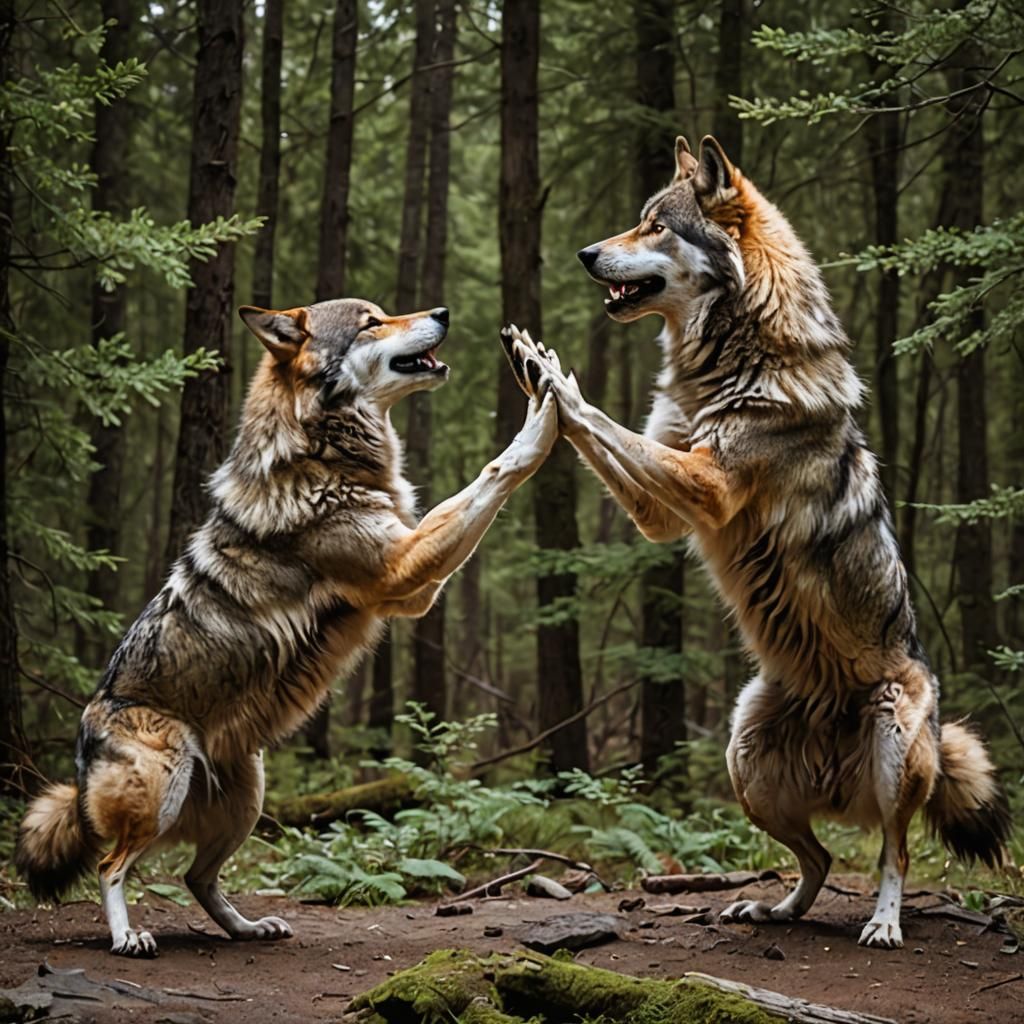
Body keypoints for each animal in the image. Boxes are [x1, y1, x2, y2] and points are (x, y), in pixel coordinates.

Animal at [17, 299, 556, 956]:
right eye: (371, 321)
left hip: (248, 795)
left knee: (197, 878)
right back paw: (128, 937)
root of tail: (81, 751)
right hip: (164, 788)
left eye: (384, 311)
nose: (443, 310)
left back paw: (248, 929)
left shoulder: (413, 587)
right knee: (111, 865)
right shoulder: (401, 569)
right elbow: (499, 467)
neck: (319, 451)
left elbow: (479, 492)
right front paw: (545, 414)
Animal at [500, 134, 1011, 948]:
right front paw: (529, 366)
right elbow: (607, 440)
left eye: (655, 225)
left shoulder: (706, 484)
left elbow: (592, 414)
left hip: (893, 741)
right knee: (821, 858)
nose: (583, 253)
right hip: (745, 759)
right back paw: (773, 910)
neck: (732, 360)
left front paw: (548, 372)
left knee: (893, 851)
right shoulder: (663, 512)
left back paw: (884, 924)